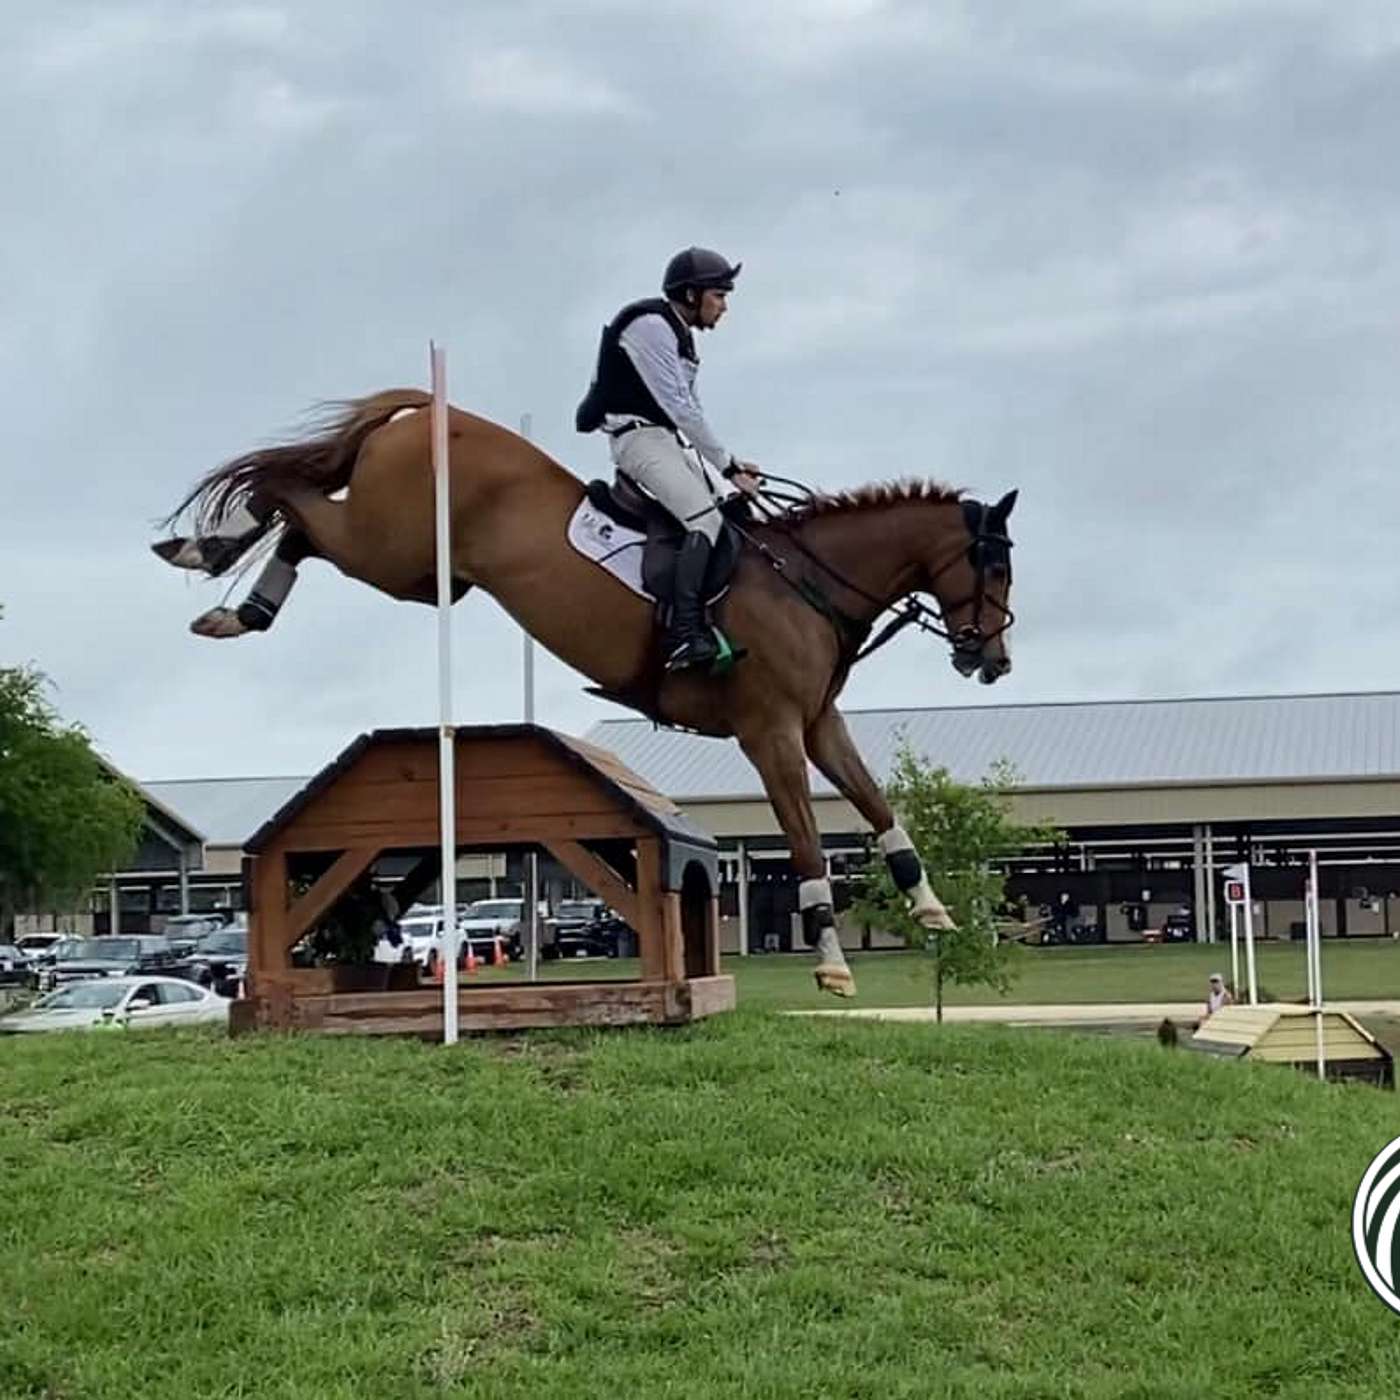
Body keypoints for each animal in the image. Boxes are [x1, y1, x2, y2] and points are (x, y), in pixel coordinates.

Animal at [158, 386, 1019, 996]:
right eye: (994, 568)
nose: (994, 660)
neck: (804, 582)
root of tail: (428, 410)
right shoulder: (769, 731)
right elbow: (806, 837)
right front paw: (834, 962)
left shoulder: (816, 724)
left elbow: (877, 805)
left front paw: (933, 909)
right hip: (390, 545)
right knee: (290, 499)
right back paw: (207, 557)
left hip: (420, 574)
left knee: (302, 525)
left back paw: (237, 604)